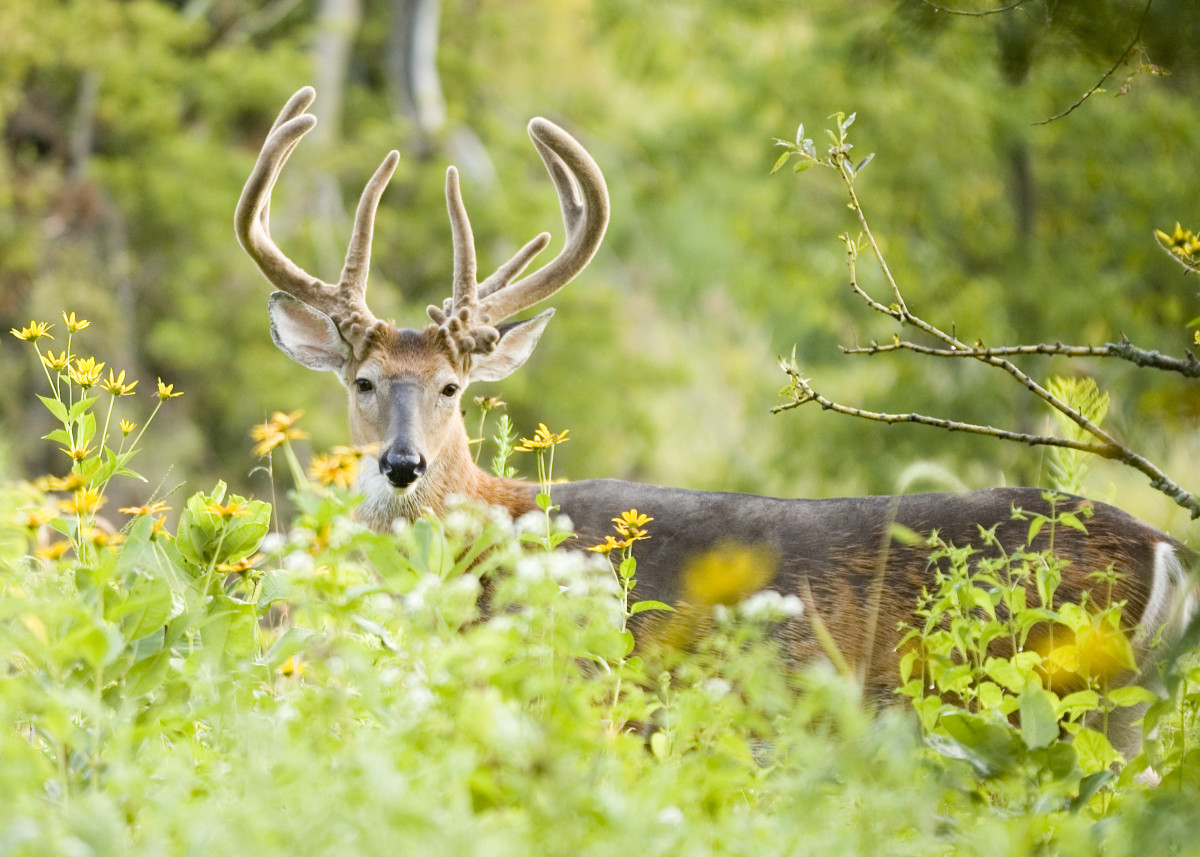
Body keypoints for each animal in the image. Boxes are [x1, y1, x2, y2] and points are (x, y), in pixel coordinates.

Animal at [236, 87, 1190, 748]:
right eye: (363, 380)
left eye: (451, 389)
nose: (402, 465)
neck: (497, 546)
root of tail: (1168, 550)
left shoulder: (605, 694)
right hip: (1115, 706)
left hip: (1043, 688)